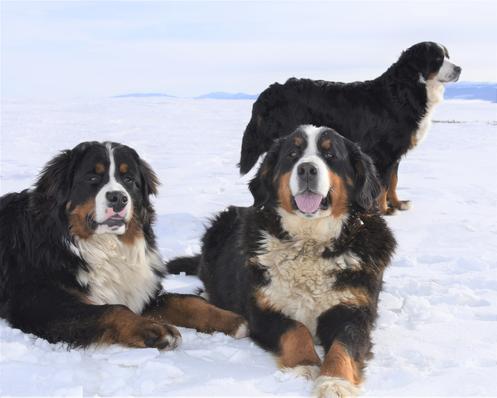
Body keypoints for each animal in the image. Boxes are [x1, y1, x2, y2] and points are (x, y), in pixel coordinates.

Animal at [0, 141, 248, 350]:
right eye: (92, 178)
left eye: (128, 180)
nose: (118, 198)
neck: (103, 247)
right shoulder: (40, 301)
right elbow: (112, 310)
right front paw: (154, 329)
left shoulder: (142, 292)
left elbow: (187, 301)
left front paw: (231, 318)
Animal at [167, 126, 396, 398]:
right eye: (292, 154)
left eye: (330, 155)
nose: (307, 169)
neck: (310, 242)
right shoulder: (262, 309)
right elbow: (296, 330)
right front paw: (305, 365)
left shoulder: (354, 310)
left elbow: (344, 345)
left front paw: (334, 382)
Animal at [237, 40, 462, 215]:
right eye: (437, 59)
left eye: (447, 55)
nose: (459, 68)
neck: (404, 90)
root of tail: (271, 90)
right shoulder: (383, 152)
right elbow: (383, 184)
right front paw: (383, 210)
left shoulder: (395, 153)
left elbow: (394, 181)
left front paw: (398, 204)